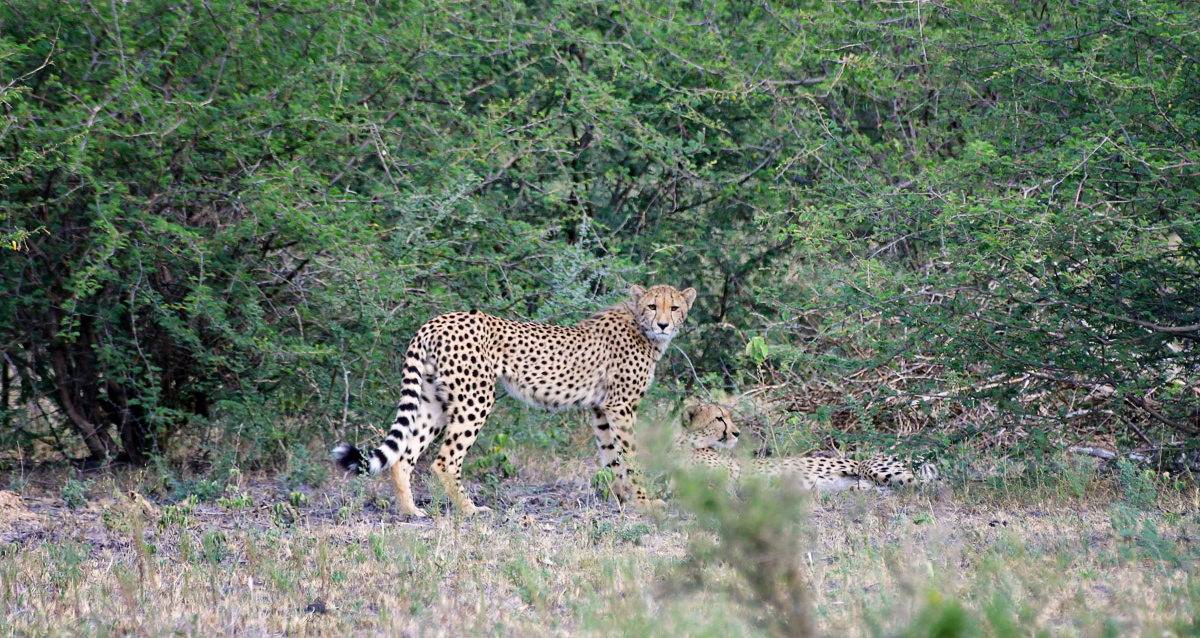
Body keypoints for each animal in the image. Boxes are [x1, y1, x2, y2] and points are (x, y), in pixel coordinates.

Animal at [333, 284, 698, 517]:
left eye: (674, 307)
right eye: (652, 306)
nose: (663, 324)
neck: (641, 328)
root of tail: (437, 319)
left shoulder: (601, 409)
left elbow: (612, 458)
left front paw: (624, 500)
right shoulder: (621, 407)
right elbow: (631, 458)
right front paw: (644, 503)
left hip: (432, 399)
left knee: (404, 456)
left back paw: (410, 512)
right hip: (475, 397)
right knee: (445, 461)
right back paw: (470, 510)